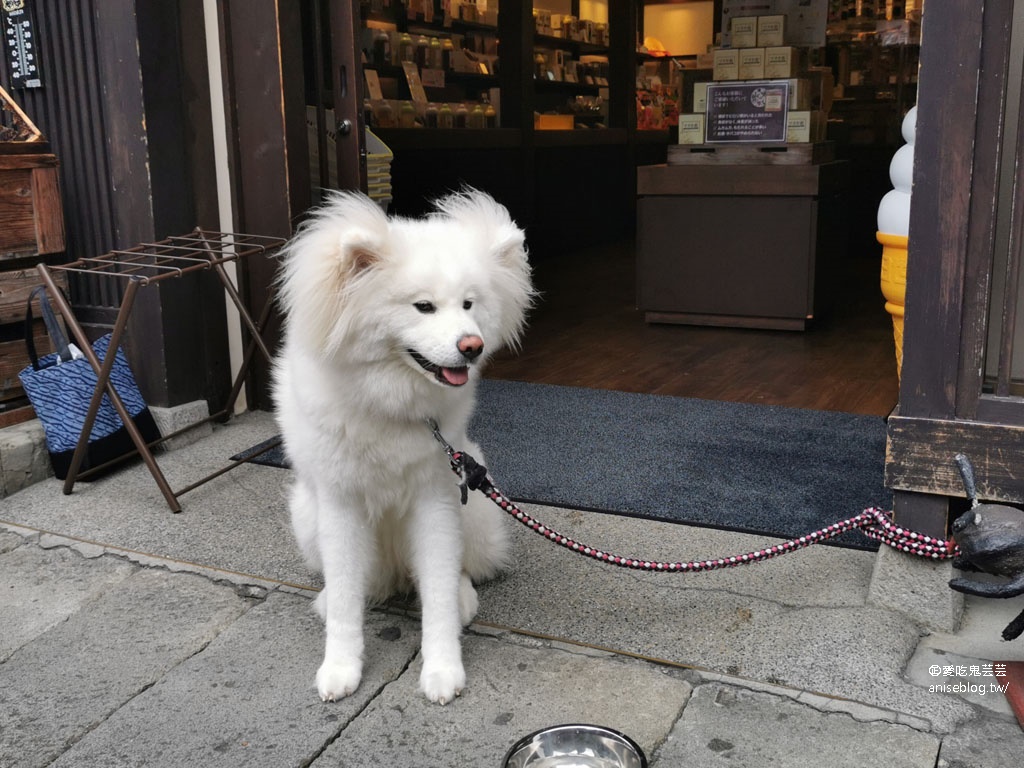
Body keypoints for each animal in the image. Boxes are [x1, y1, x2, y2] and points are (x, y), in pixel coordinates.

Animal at [272, 191, 532, 704]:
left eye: (469, 304)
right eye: (423, 306)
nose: (471, 346)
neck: (390, 403)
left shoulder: (435, 499)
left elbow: (437, 592)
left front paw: (443, 669)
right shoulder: (340, 504)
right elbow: (347, 599)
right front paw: (340, 668)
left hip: (475, 506)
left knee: (460, 570)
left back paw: (464, 596)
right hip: (306, 516)